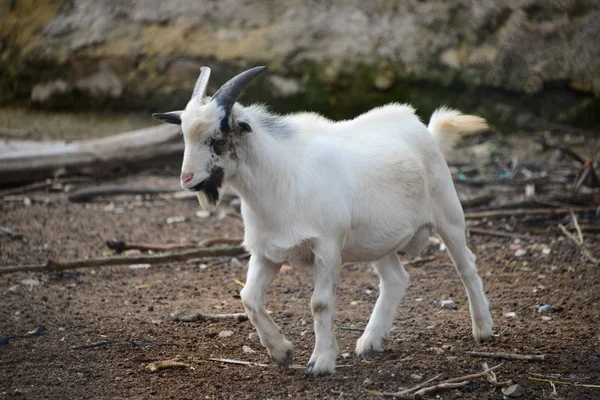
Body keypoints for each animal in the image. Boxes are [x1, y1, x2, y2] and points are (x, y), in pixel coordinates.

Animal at [154, 67, 492, 376]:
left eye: (219, 138)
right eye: (184, 136)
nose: (187, 179)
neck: (280, 179)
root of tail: (425, 130)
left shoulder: (327, 246)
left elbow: (320, 303)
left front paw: (321, 363)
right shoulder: (266, 252)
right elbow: (249, 298)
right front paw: (282, 352)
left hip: (448, 213)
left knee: (466, 266)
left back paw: (483, 330)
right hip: (379, 240)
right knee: (396, 279)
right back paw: (370, 342)